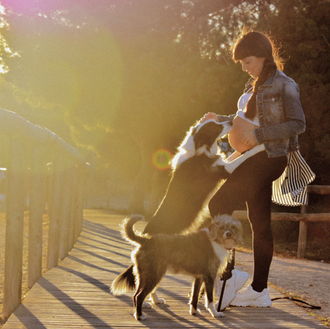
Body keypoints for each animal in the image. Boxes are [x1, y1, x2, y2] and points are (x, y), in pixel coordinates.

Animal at [112, 214, 244, 320]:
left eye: (233, 227)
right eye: (221, 227)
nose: (228, 234)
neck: (216, 239)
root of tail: (146, 241)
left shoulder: (199, 277)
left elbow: (195, 296)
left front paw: (194, 311)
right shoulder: (209, 277)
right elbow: (210, 299)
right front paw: (215, 313)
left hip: (144, 275)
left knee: (136, 294)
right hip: (154, 274)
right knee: (139, 296)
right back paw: (140, 316)